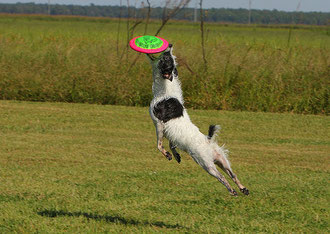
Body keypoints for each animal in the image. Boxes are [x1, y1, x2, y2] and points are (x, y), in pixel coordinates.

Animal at [146, 44, 248, 196]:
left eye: (167, 58)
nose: (170, 45)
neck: (166, 91)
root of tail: (208, 141)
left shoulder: (158, 124)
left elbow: (159, 145)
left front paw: (168, 155)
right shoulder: (170, 133)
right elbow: (171, 144)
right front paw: (176, 155)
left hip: (208, 166)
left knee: (223, 178)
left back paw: (232, 191)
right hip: (222, 161)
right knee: (233, 175)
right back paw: (243, 189)